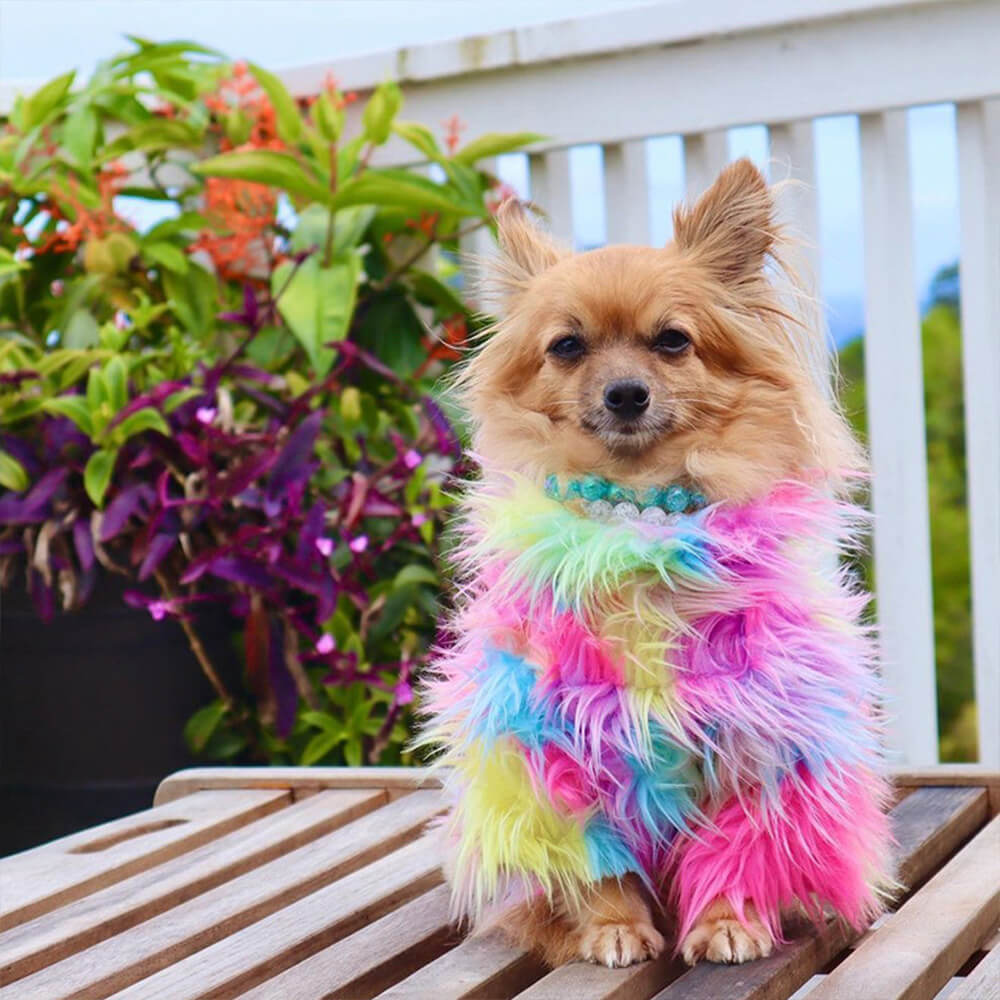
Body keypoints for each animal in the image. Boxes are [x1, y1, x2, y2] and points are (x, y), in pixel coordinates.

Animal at [418, 158, 896, 968]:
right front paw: (613, 927)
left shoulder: (755, 730)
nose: (626, 393)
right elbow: (595, 860)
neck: (638, 520)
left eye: (673, 341)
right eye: (566, 347)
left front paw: (728, 923)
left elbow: (737, 846)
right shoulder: (561, 743)